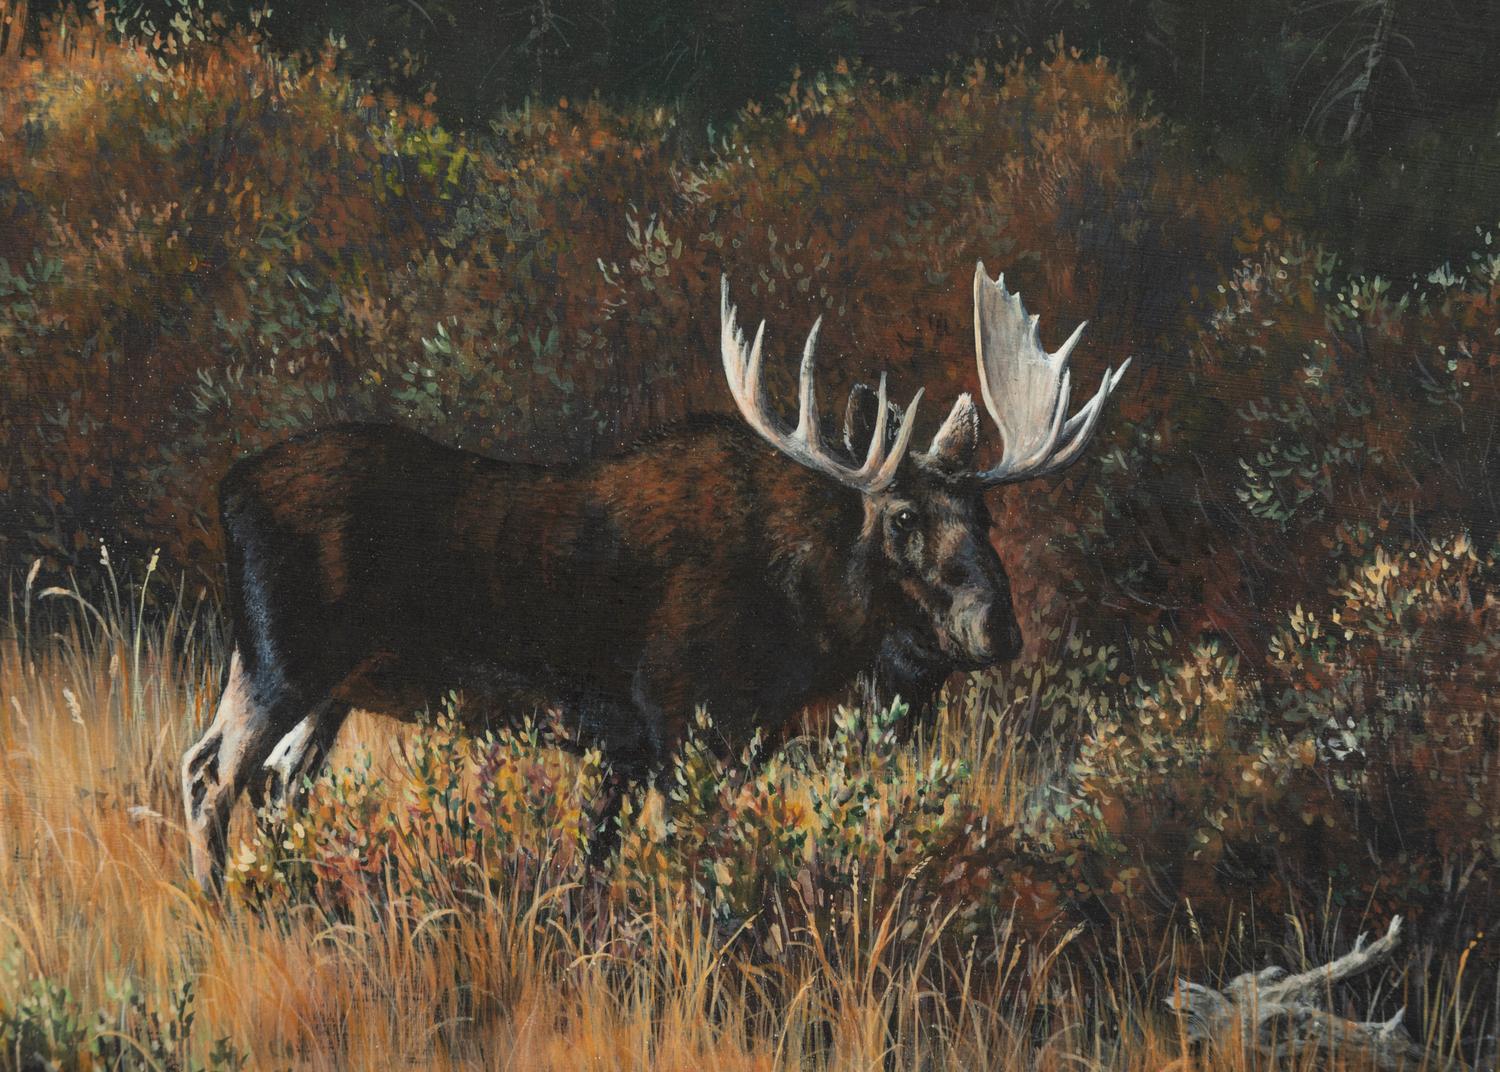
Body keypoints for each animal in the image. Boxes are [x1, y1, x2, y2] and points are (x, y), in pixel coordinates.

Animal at [181, 263, 1129, 891]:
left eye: (987, 518)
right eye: (901, 518)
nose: (998, 626)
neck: (807, 627)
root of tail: (226, 487)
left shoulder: (647, 743)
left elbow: (599, 862)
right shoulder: (682, 719)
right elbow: (682, 857)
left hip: (319, 684)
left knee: (270, 782)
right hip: (281, 661)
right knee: (209, 777)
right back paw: (222, 908)